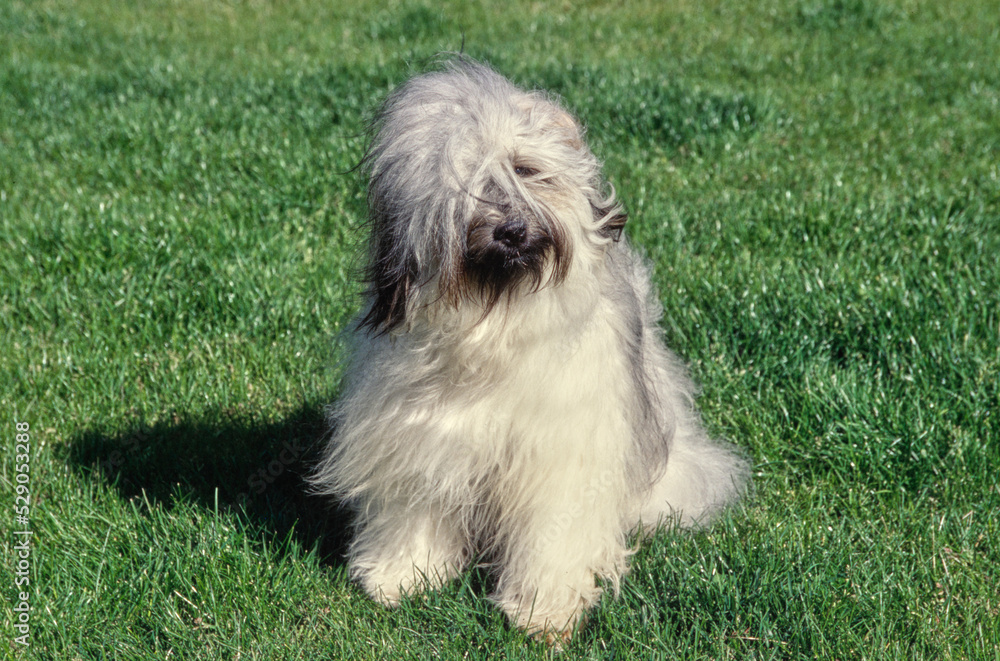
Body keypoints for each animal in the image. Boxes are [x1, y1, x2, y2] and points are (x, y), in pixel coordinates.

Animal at [312, 56, 752, 644]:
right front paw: (402, 575)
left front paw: (544, 611)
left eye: (525, 169)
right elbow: (418, 504)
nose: (513, 232)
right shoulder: (423, 437)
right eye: (465, 183)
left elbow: (553, 533)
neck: (495, 322)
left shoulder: (562, 454)